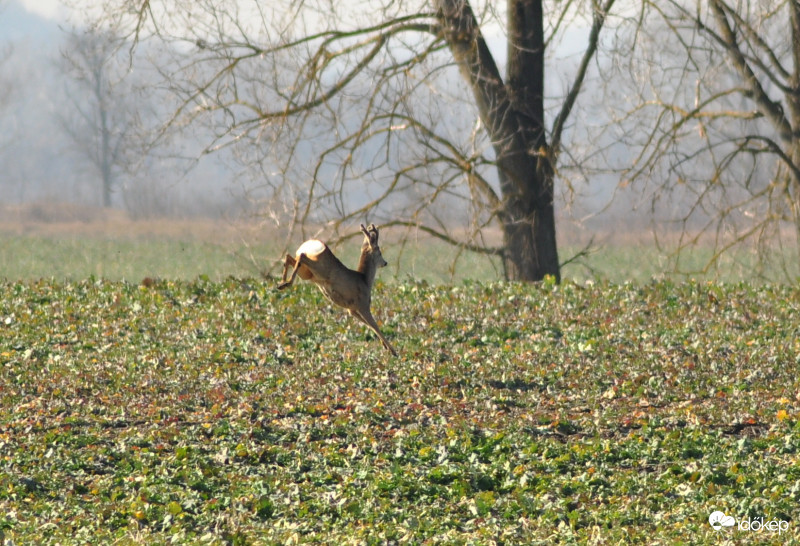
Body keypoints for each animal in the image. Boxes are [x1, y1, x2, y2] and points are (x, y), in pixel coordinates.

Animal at [276, 222, 398, 354]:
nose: (385, 263)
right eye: (379, 252)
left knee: (290, 256)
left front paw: (385, 346)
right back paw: (286, 283)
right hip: (321, 270)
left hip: (307, 273)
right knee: (302, 257)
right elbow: (374, 325)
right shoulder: (363, 304)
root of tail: (311, 244)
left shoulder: (351, 309)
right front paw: (393, 351)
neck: (365, 280)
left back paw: (282, 283)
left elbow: (368, 324)